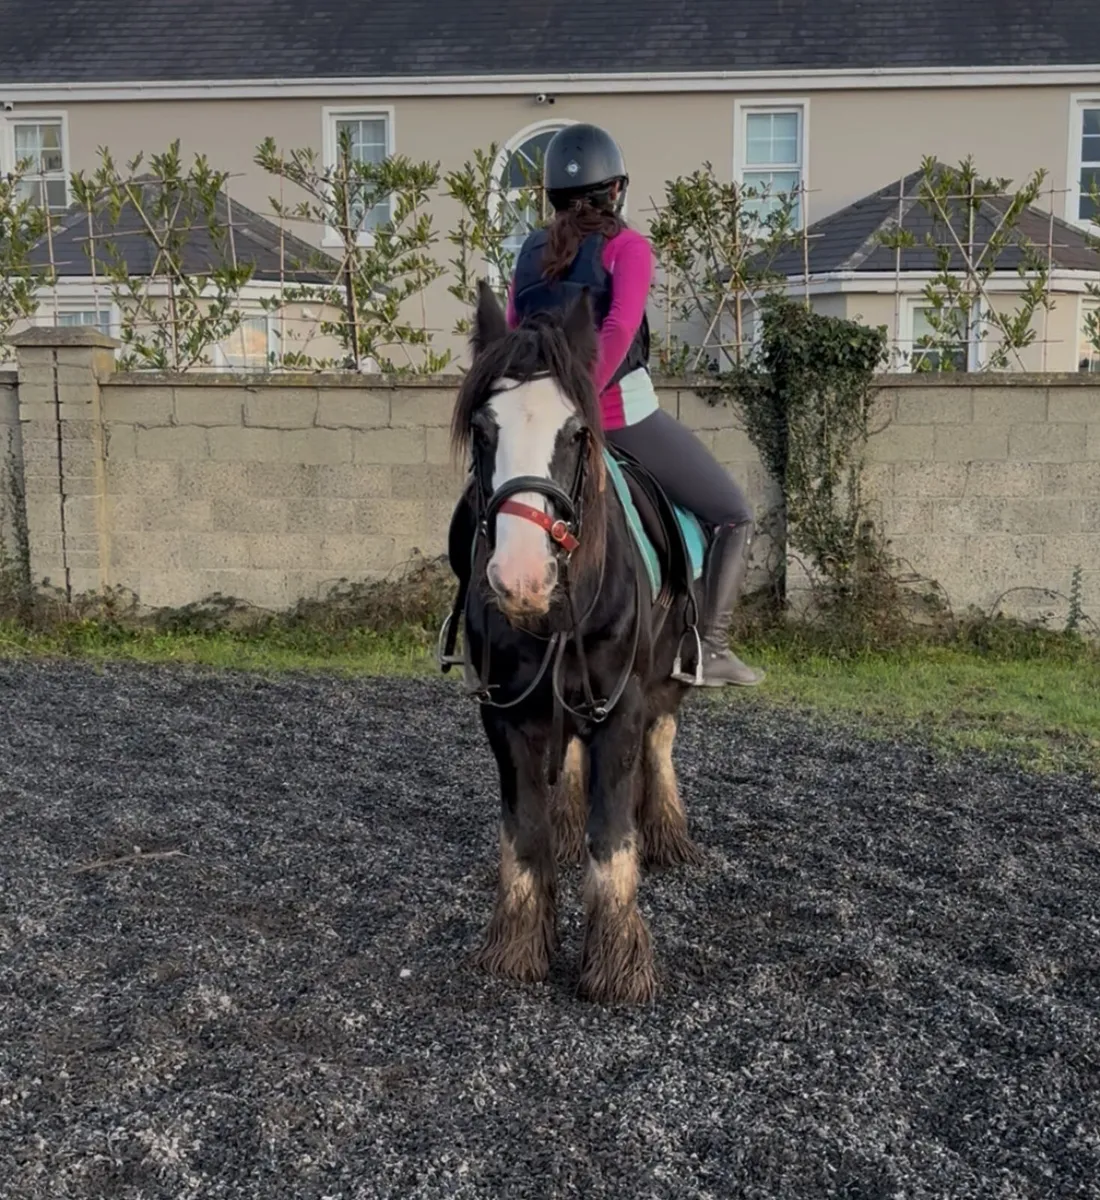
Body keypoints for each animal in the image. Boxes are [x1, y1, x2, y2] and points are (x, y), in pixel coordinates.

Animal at [440, 280, 706, 1005]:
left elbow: (611, 838)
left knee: (662, 742)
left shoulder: (621, 708)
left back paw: (666, 832)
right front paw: (518, 948)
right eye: (484, 430)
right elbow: (525, 832)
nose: (521, 577)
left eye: (578, 431)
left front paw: (617, 964)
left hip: (665, 677)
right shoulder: (503, 713)